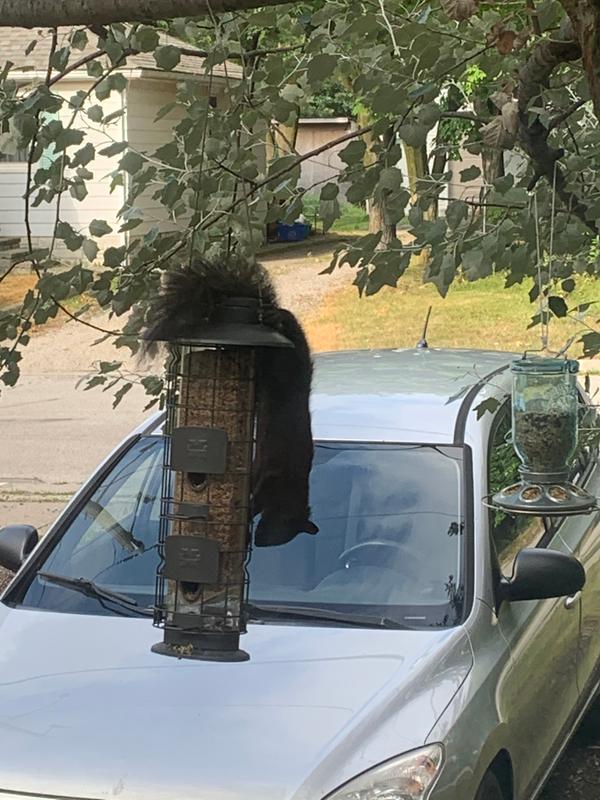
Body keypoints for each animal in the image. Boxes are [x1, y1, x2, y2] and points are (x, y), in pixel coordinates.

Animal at [141, 257, 318, 548]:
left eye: (282, 531)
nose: (260, 542)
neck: (292, 489)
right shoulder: (272, 476)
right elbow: (257, 496)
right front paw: (246, 516)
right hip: (286, 357)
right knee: (289, 327)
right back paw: (277, 318)